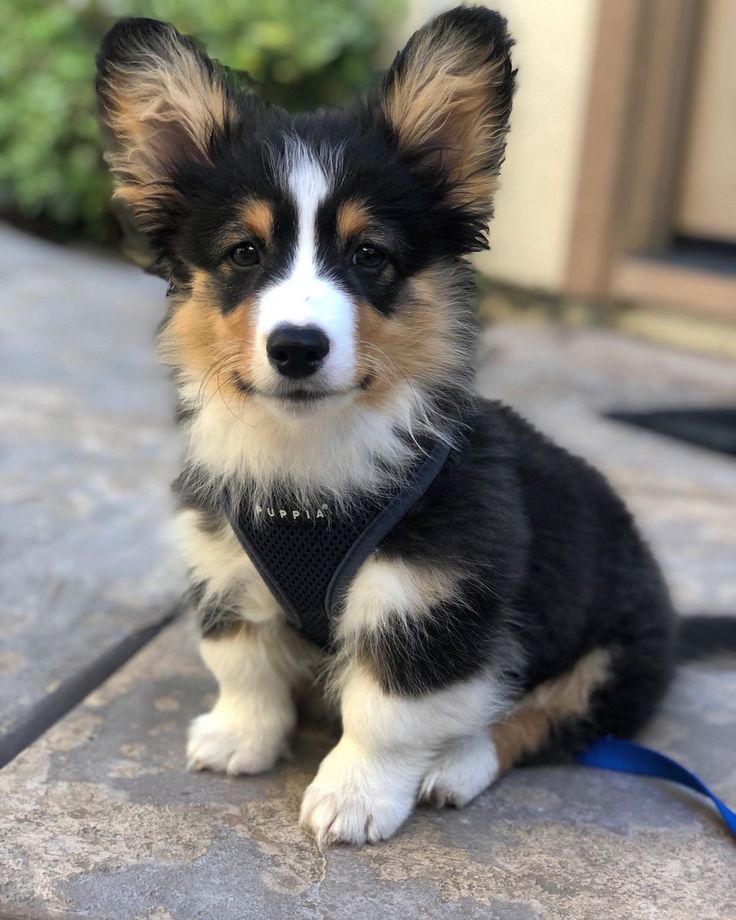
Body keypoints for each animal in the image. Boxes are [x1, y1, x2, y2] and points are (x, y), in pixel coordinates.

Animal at [98, 7, 680, 848]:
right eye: (244, 252)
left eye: (369, 254)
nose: (297, 347)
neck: (310, 465)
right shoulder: (225, 565)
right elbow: (243, 665)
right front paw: (241, 737)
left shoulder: (427, 604)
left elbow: (386, 713)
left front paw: (354, 796)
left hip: (616, 656)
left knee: (540, 718)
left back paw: (460, 762)